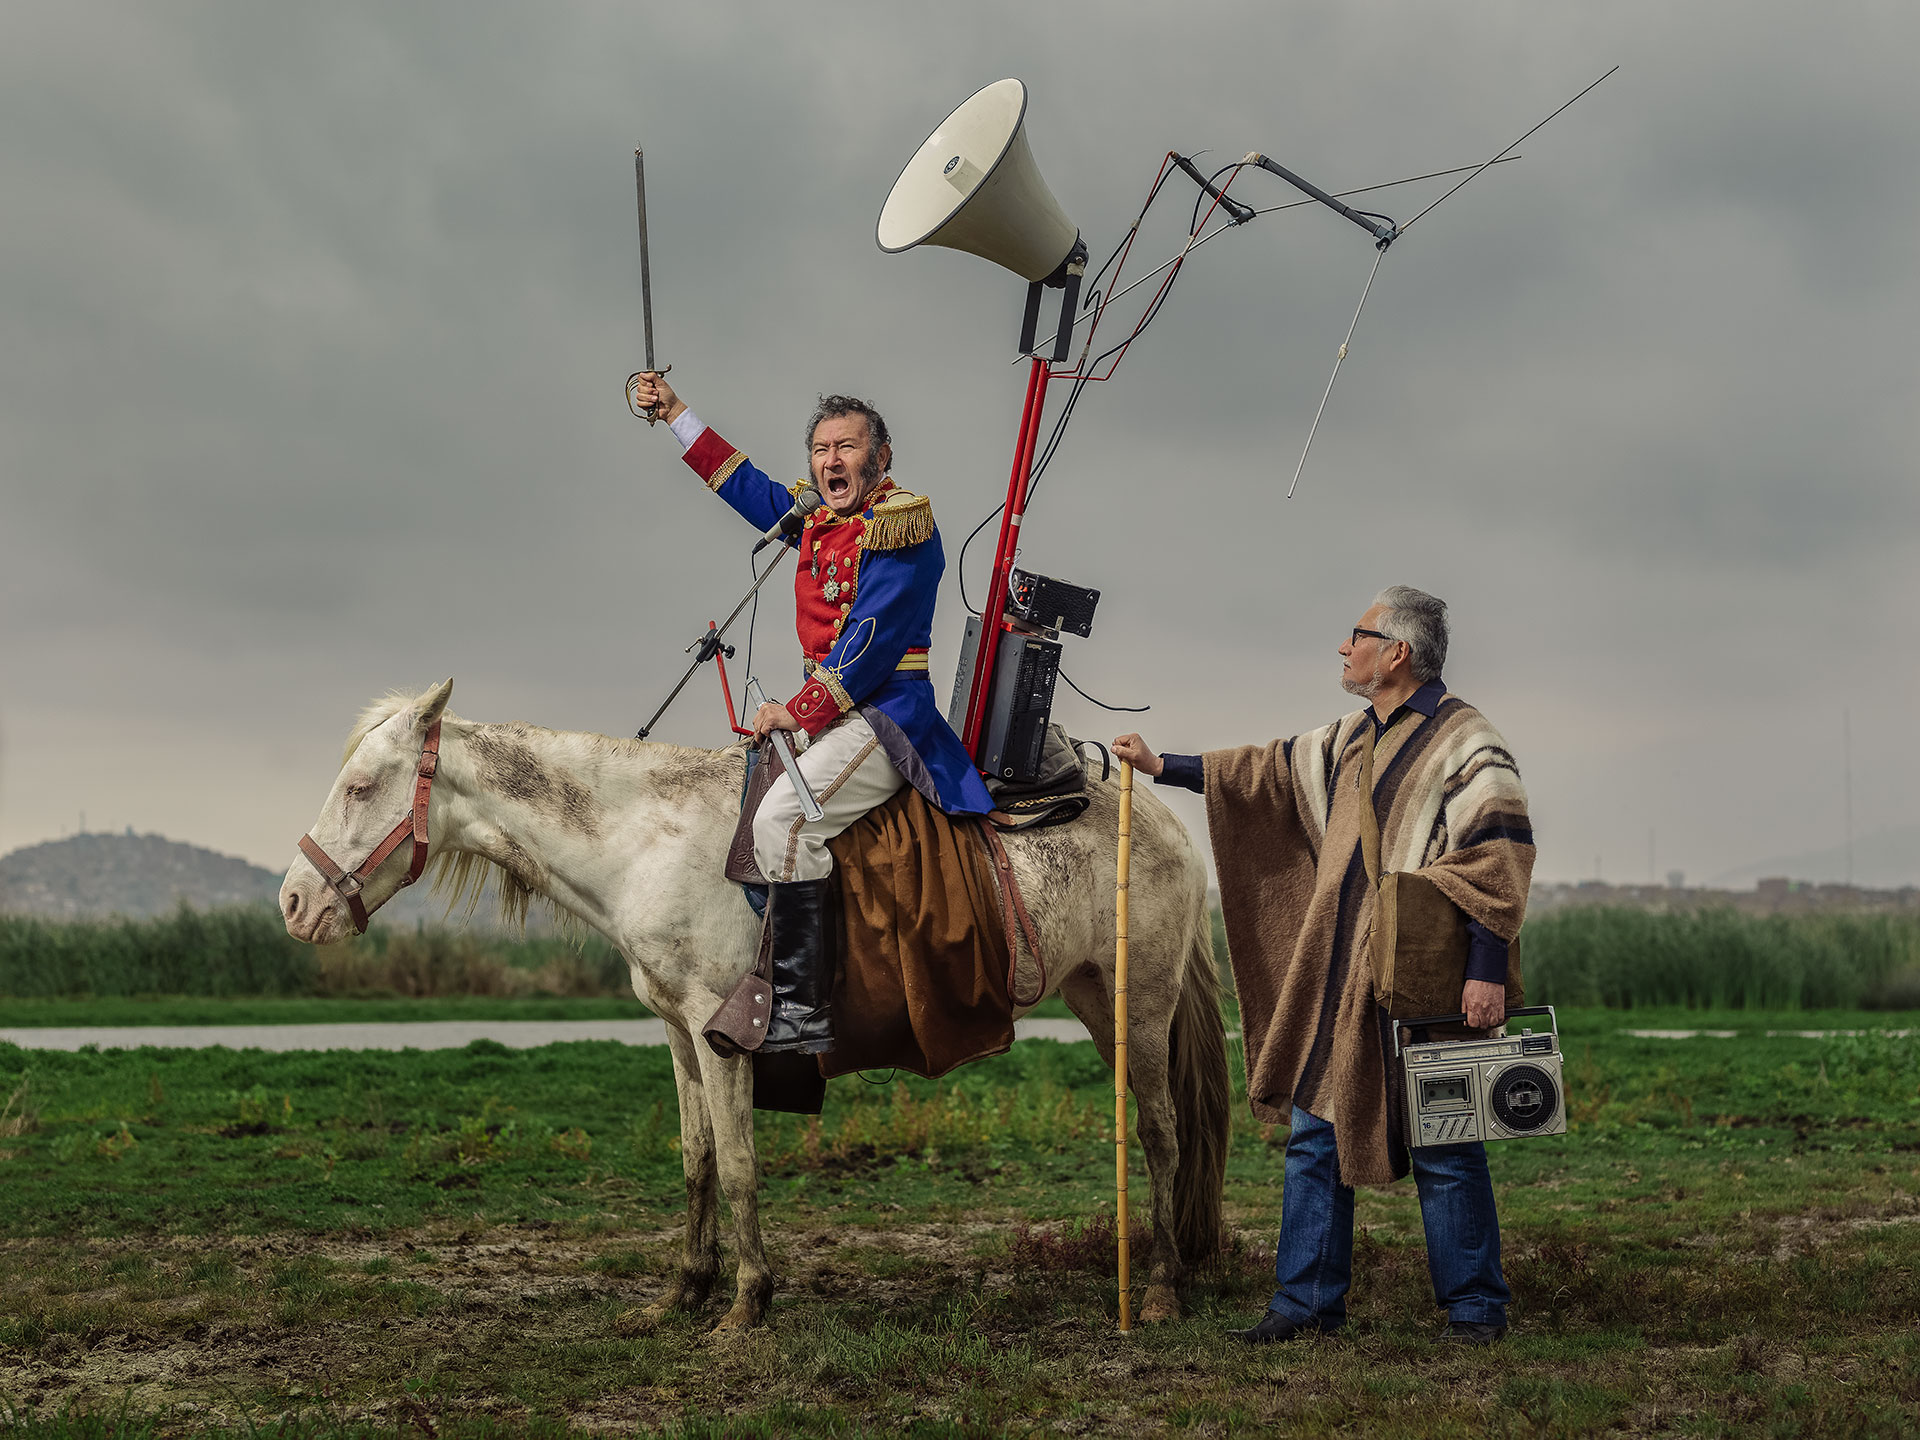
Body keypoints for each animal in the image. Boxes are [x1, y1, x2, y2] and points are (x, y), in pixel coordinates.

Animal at [276, 683, 1221, 1336]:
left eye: (361, 786)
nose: (292, 902)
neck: (646, 841)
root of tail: (1159, 812)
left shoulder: (719, 1035)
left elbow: (737, 1167)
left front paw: (747, 1303)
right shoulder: (677, 1035)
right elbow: (696, 1161)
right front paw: (682, 1293)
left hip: (1140, 1008)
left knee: (1162, 1133)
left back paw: (1161, 1289)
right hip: (1096, 999)